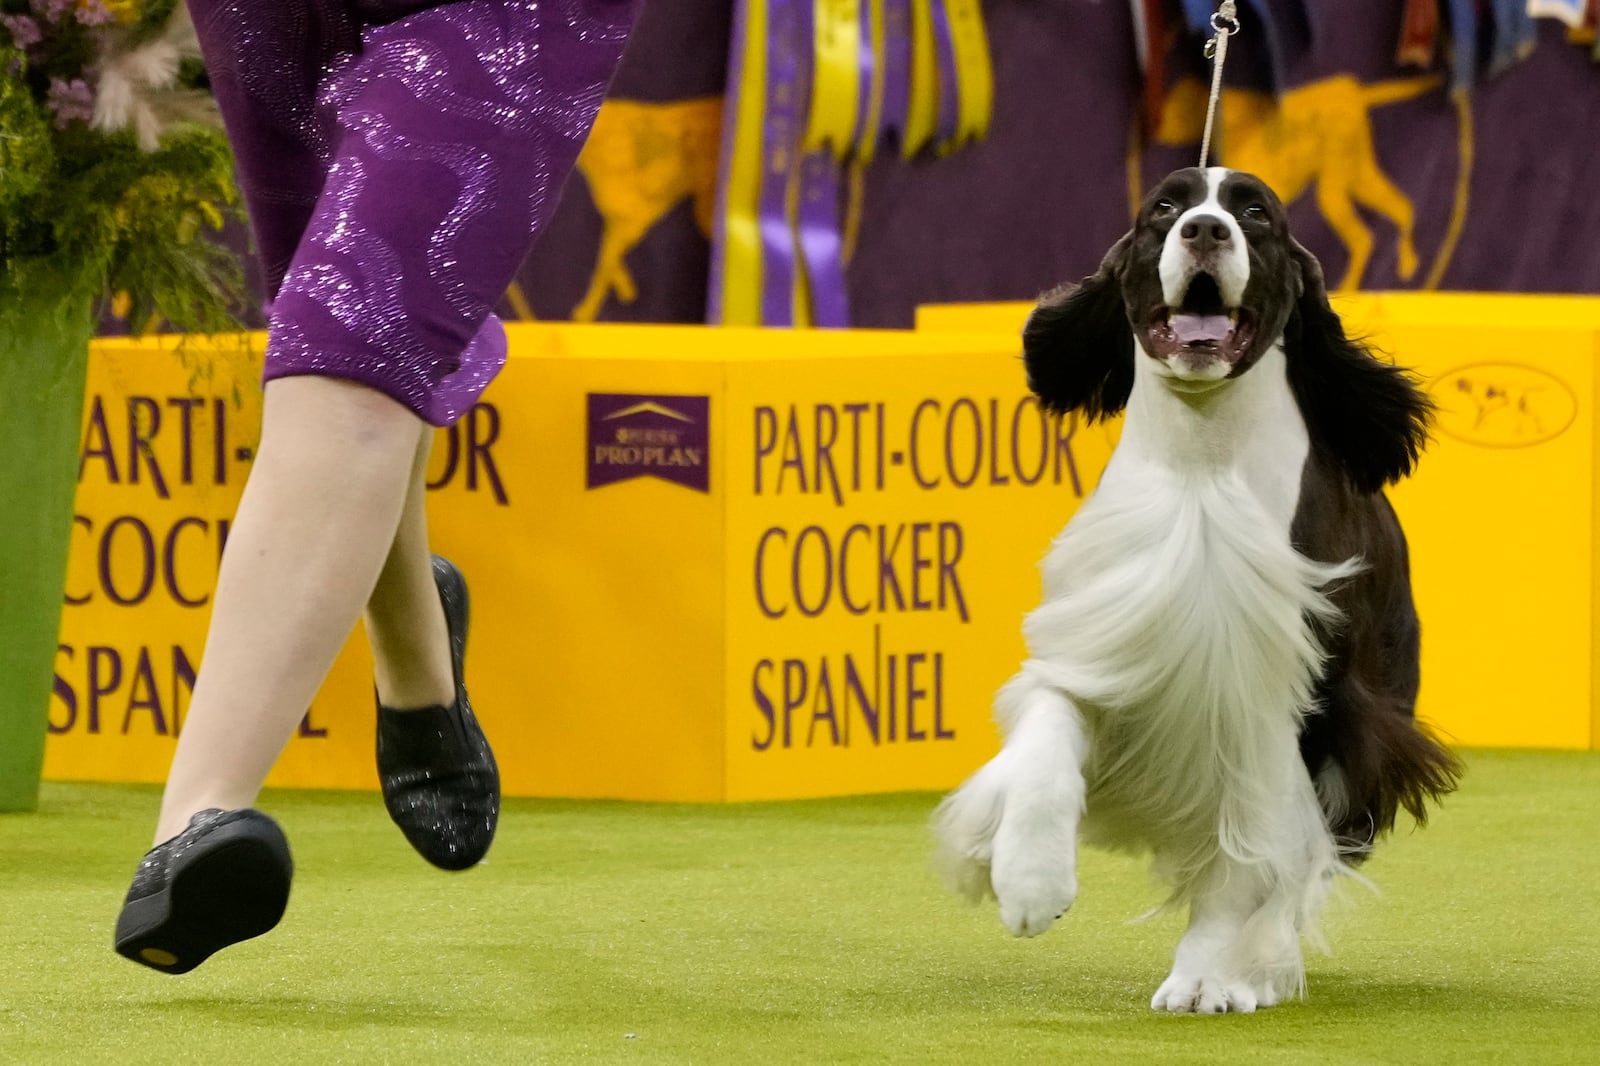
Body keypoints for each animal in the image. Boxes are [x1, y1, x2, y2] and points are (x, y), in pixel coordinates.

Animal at [934, 168, 1465, 1011]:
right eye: (1165, 207)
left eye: (1255, 213)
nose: (1207, 230)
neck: (1202, 462)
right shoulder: (1107, 638)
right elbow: (1047, 734)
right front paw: (1026, 880)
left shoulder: (1289, 701)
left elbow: (1254, 853)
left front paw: (1212, 975)